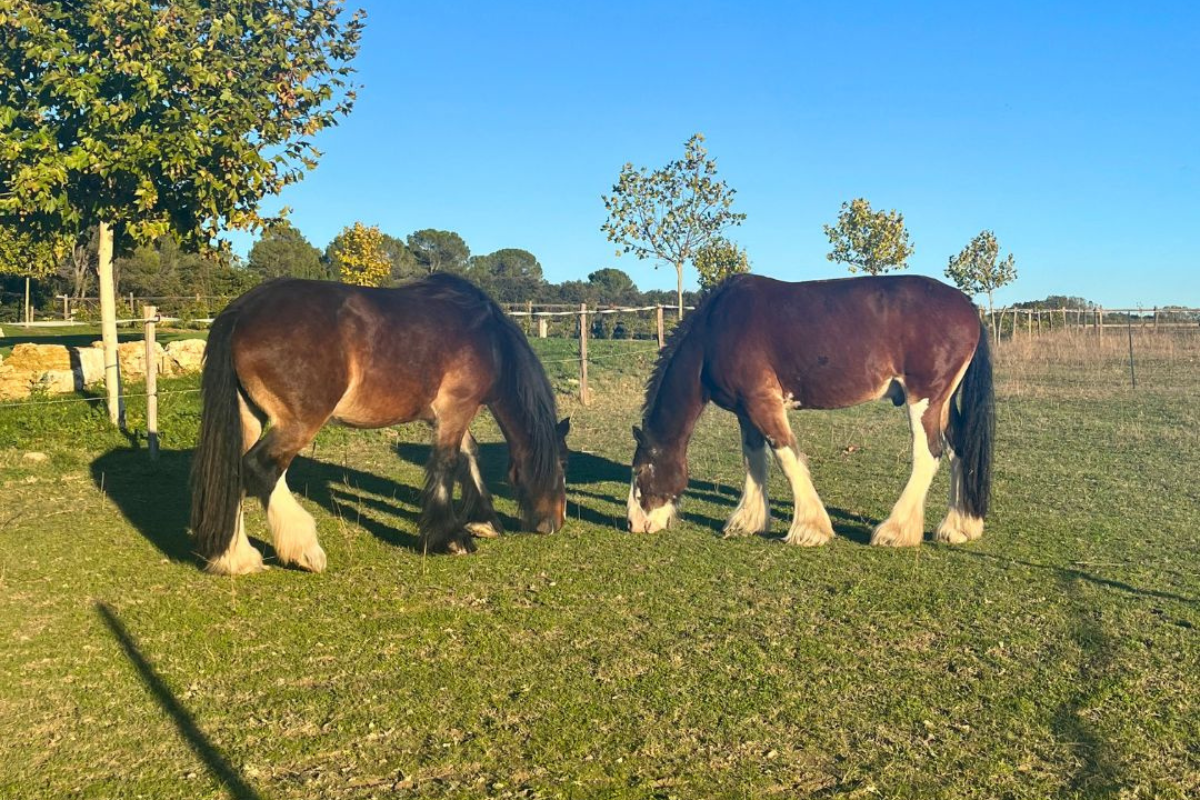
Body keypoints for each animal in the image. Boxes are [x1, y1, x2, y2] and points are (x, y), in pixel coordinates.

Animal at [190, 273, 570, 575]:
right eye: (563, 467)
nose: (555, 524)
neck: (488, 338)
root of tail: (243, 309)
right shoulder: (457, 408)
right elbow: (447, 464)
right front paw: (450, 538)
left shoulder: (448, 415)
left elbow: (469, 456)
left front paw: (484, 521)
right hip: (298, 423)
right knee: (261, 469)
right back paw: (303, 550)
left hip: (250, 419)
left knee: (237, 474)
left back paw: (236, 559)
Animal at [627, 273, 993, 547]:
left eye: (640, 471)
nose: (633, 524)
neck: (715, 331)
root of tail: (967, 305)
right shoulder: (746, 410)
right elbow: (754, 460)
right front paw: (748, 521)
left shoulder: (762, 402)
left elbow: (787, 457)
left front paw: (809, 529)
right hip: (943, 403)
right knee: (958, 449)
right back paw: (958, 527)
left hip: (924, 400)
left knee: (928, 455)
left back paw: (896, 532)